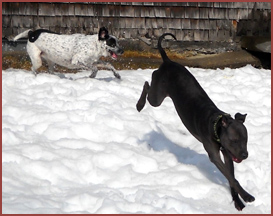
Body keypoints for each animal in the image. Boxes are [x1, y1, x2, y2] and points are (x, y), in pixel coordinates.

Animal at [137, 33, 254, 211]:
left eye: (246, 140)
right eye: (234, 140)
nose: (245, 155)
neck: (216, 125)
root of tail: (167, 61)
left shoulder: (227, 154)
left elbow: (231, 177)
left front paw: (237, 201)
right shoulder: (214, 155)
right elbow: (231, 177)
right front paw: (246, 196)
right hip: (157, 96)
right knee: (147, 86)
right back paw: (139, 104)